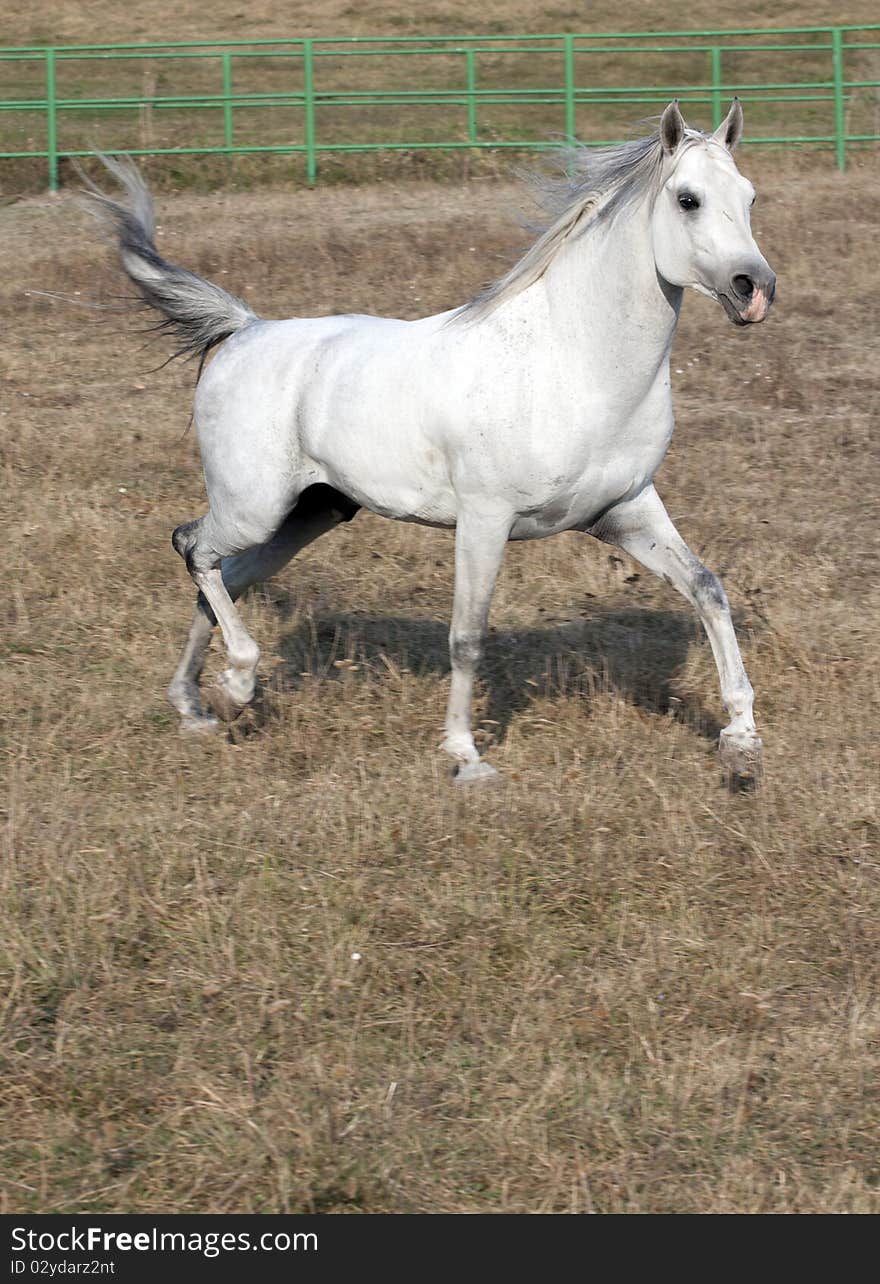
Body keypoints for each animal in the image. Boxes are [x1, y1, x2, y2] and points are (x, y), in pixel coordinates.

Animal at [91, 100, 775, 780]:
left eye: (749, 196)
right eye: (687, 199)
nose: (755, 289)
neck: (572, 363)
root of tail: (243, 330)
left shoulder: (625, 510)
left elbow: (708, 590)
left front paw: (741, 744)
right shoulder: (485, 519)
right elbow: (467, 636)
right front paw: (464, 757)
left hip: (308, 514)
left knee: (223, 582)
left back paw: (201, 707)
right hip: (252, 507)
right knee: (193, 549)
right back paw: (234, 684)